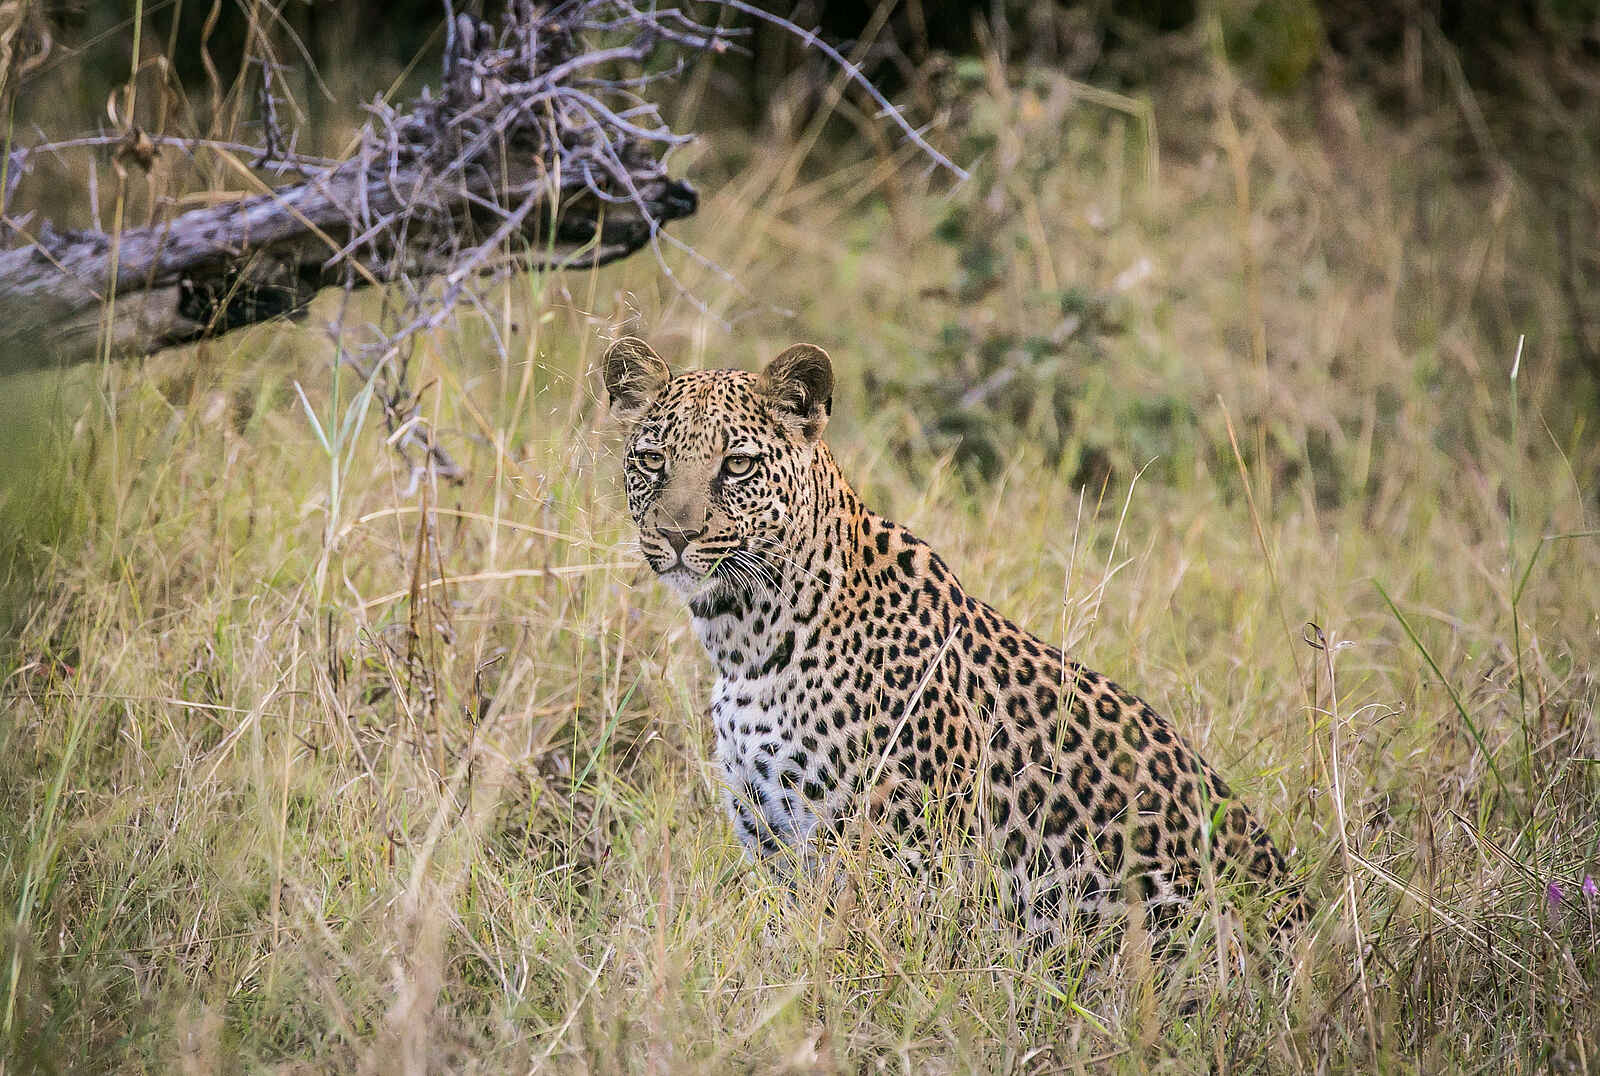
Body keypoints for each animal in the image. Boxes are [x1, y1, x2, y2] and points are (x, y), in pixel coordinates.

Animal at [603, 335, 1306, 948]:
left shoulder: (900, 851)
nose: (675, 535)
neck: (746, 638)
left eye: (737, 465)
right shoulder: (771, 840)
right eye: (652, 461)